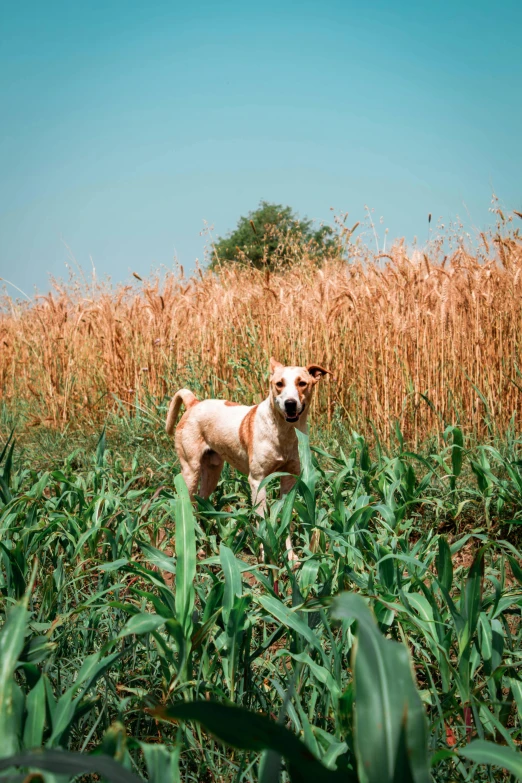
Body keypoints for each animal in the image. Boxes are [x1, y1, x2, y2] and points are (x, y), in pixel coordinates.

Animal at [166, 358, 330, 560]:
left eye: (302, 383)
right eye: (279, 384)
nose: (290, 404)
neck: (283, 432)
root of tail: (194, 403)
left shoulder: (289, 479)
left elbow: (285, 518)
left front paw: (290, 557)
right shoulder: (257, 481)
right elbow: (262, 521)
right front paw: (266, 557)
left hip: (212, 472)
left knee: (201, 503)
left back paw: (204, 542)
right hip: (190, 472)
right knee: (186, 503)